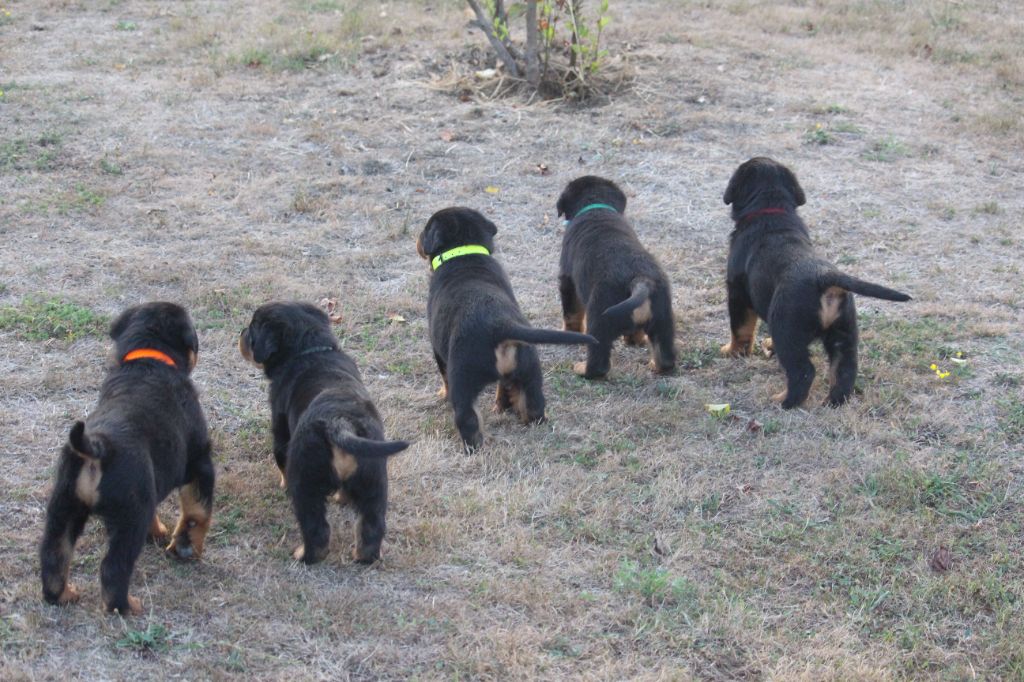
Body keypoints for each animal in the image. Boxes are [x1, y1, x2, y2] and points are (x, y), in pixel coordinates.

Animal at [39, 301, 214, 614]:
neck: (147, 359)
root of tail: (96, 446)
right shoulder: (199, 460)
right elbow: (197, 512)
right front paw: (186, 548)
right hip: (131, 516)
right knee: (113, 568)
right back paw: (127, 606)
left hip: (64, 506)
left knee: (54, 555)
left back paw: (63, 595)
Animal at [239, 303, 407, 561]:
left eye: (252, 329)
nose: (241, 333)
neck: (311, 350)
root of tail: (340, 422)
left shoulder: (280, 429)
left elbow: (280, 461)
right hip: (375, 481)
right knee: (371, 526)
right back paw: (363, 556)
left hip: (306, 480)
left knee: (316, 530)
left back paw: (303, 555)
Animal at [413, 208, 598, 450]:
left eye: (425, 230)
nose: (417, 240)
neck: (464, 253)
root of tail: (499, 325)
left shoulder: (438, 350)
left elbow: (443, 376)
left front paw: (442, 393)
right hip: (530, 370)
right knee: (534, 407)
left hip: (463, 379)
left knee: (467, 418)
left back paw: (473, 447)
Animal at [557, 174, 675, 376]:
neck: (596, 206)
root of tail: (640, 280)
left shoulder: (568, 280)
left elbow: (571, 313)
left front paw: (570, 332)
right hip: (663, 317)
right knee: (665, 356)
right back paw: (655, 364)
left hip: (599, 314)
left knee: (598, 364)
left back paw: (581, 369)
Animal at [720, 156, 913, 405]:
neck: (771, 210)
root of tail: (826, 277)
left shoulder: (738, 293)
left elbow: (740, 329)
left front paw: (731, 351)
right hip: (844, 331)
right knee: (845, 368)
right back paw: (834, 402)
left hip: (786, 328)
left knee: (803, 371)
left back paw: (783, 401)